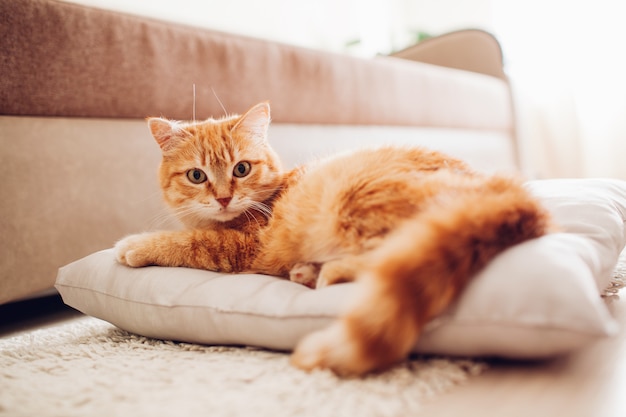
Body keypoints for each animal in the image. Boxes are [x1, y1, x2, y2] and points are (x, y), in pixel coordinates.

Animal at [114, 102, 548, 376]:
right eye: (196, 176)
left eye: (241, 169)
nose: (223, 198)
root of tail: (517, 198)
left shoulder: (244, 248)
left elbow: (187, 242)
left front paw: (135, 244)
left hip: (358, 201)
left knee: (387, 256)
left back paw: (322, 272)